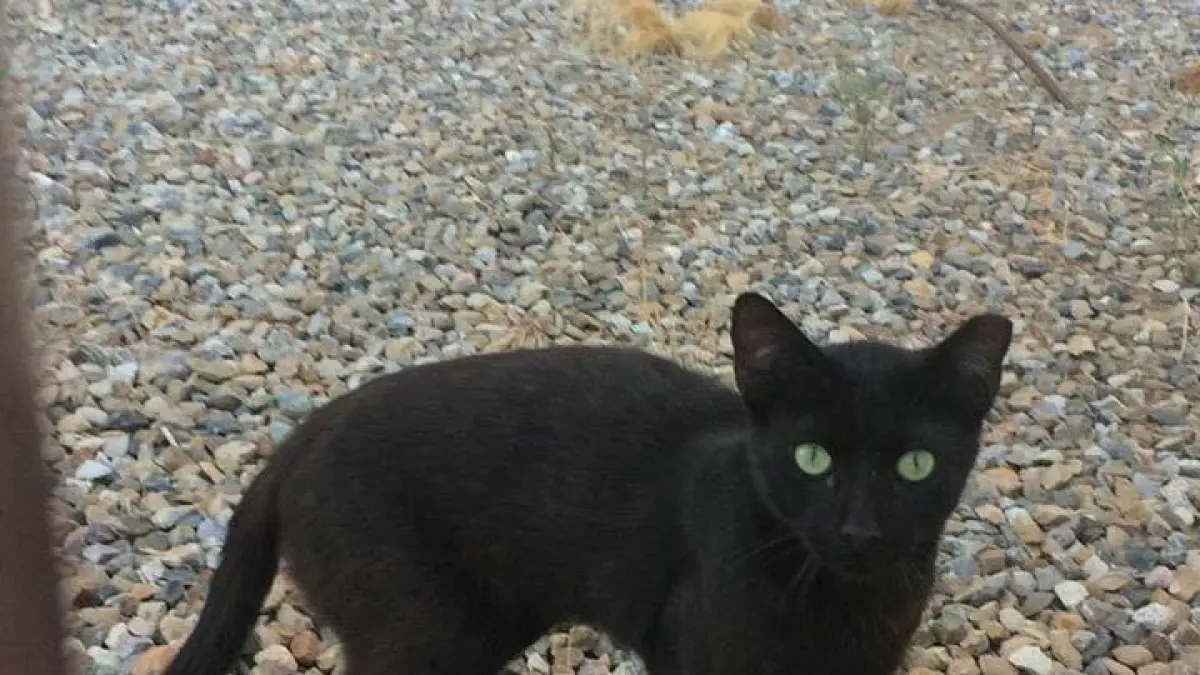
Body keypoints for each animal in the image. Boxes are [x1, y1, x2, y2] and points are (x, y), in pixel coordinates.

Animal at [164, 291, 1012, 675]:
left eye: (914, 465)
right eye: (812, 459)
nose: (861, 528)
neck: (842, 605)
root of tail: (299, 437)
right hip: (423, 631)